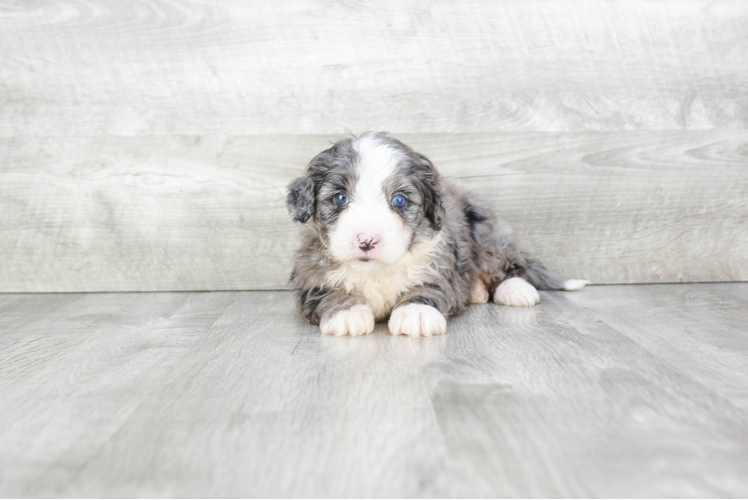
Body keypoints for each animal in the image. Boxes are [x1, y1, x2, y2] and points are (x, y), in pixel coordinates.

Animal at [290, 131, 588, 338]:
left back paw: (514, 289)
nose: (367, 240)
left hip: (488, 232)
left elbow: (429, 287)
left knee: (508, 266)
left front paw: (416, 312)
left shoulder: (438, 262)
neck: (376, 272)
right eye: (340, 197)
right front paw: (346, 312)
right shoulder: (310, 271)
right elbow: (325, 292)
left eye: (399, 201)